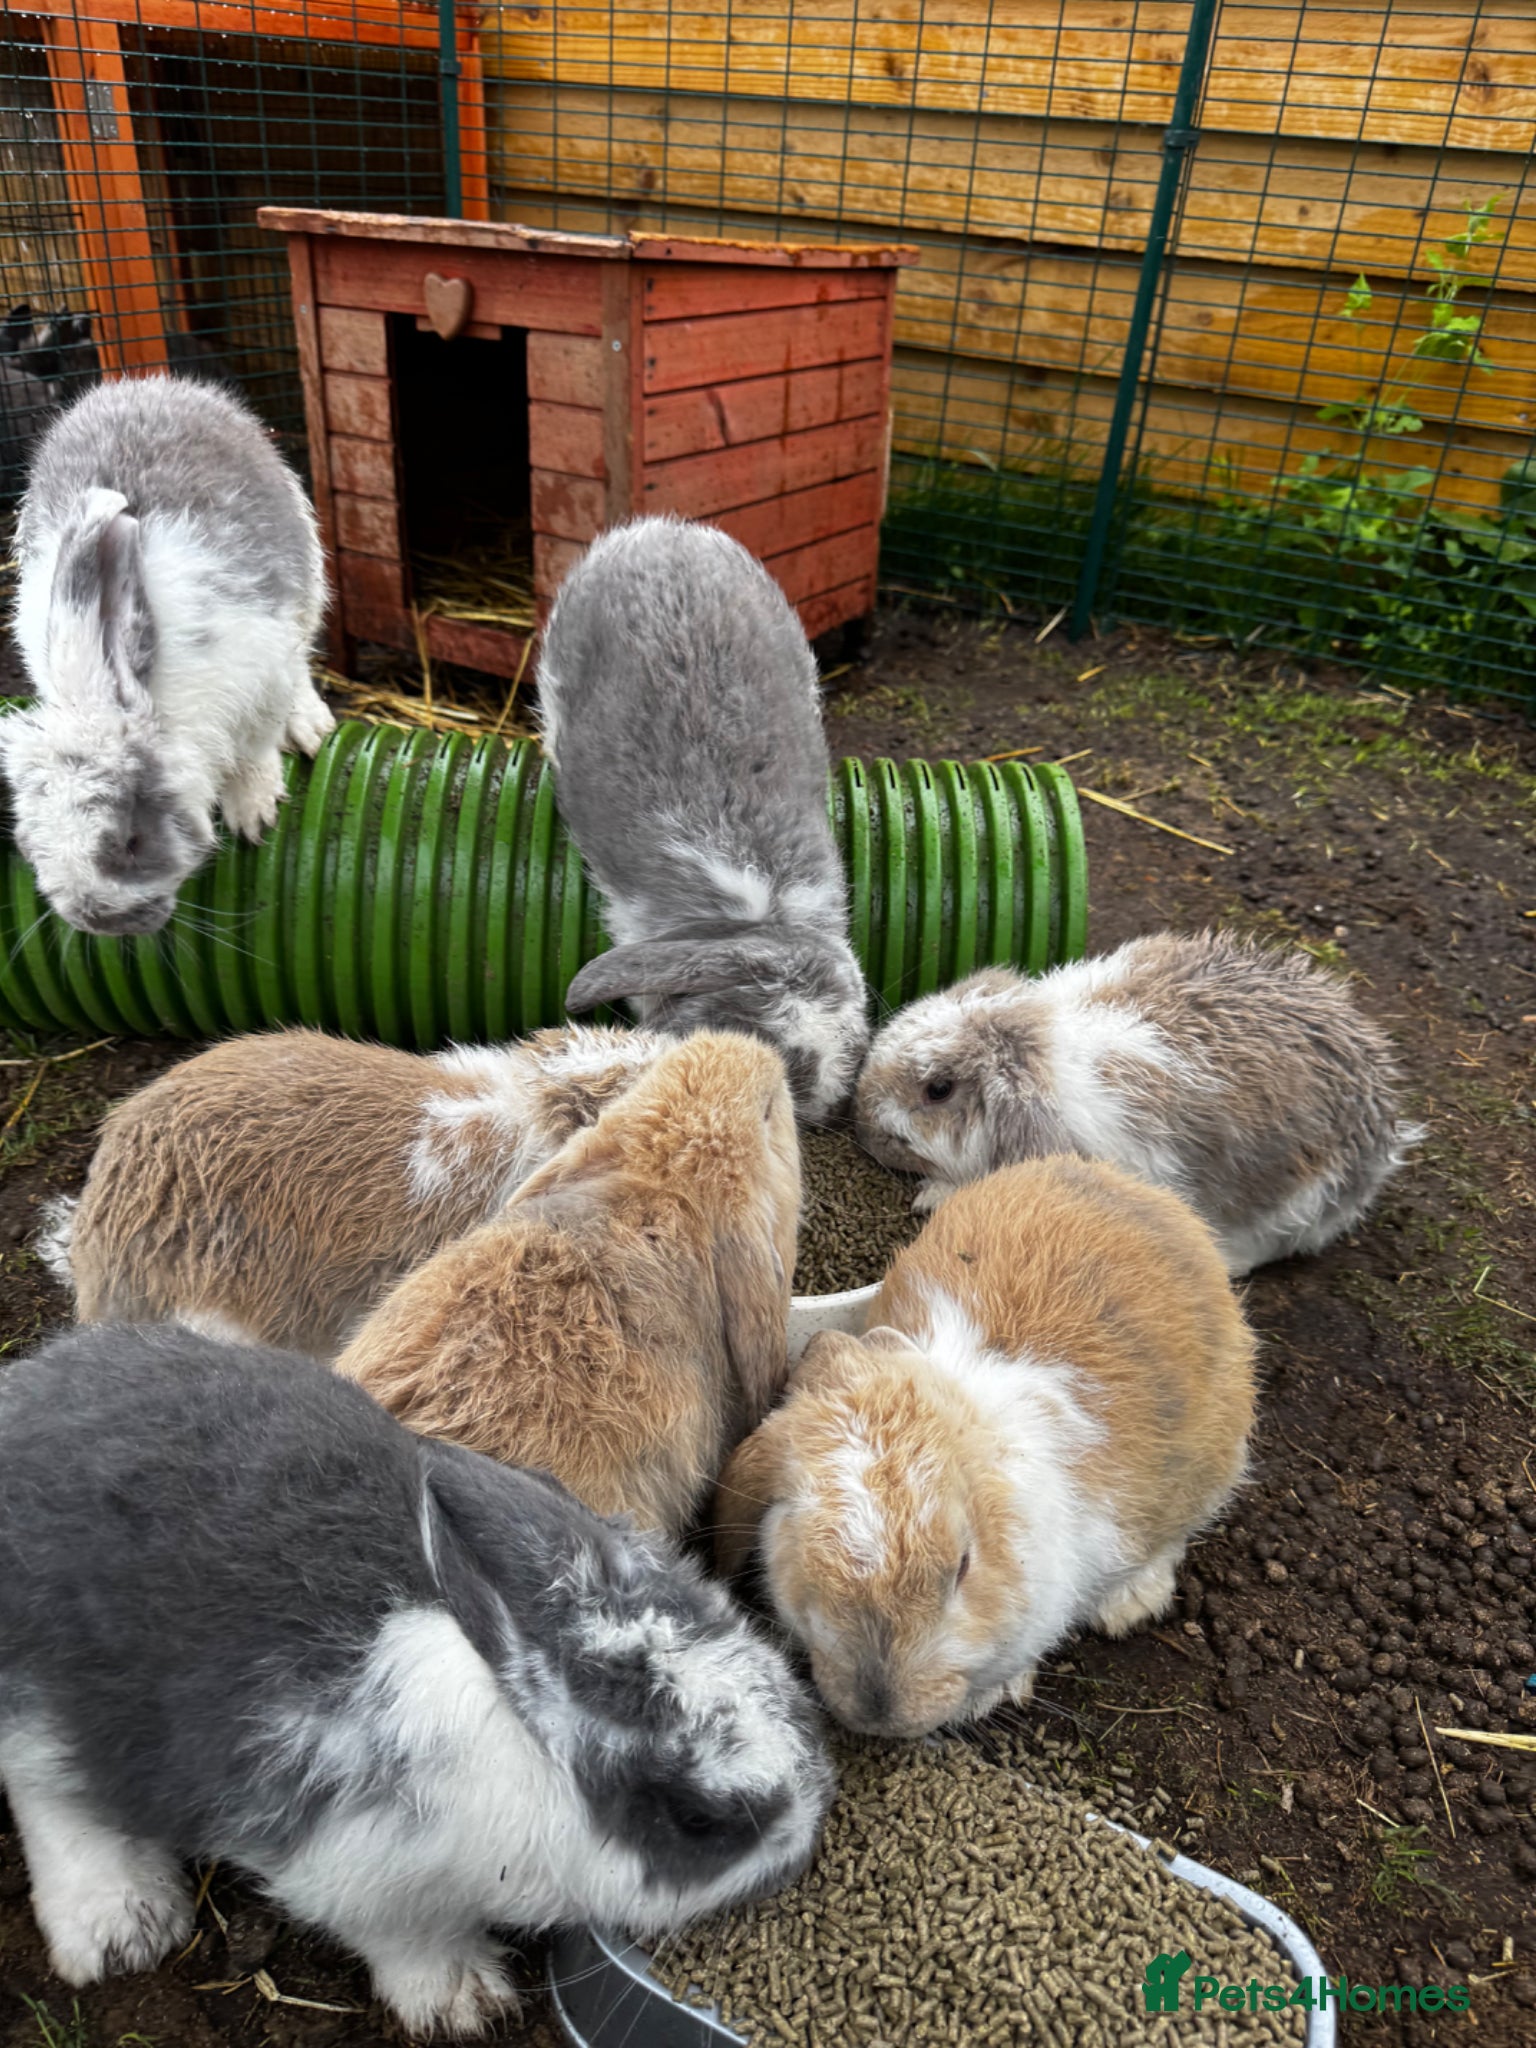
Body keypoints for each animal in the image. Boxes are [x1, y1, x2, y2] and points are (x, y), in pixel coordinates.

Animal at [0, 374, 332, 936]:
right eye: (26, 845)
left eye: (131, 841)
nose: (98, 923)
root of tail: (147, 384)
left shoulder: (264, 680)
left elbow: (255, 749)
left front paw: (253, 812)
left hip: (306, 573)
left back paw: (310, 724)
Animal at [0, 1321, 834, 2039]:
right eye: (695, 1819)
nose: (803, 1842)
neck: (528, 1749)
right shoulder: (357, 1871)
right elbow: (407, 1937)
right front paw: (467, 2001)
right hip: (45, 1716)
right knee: (53, 1800)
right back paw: (119, 1926)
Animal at [854, 928, 1422, 1275]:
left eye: (938, 1089)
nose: (864, 1128)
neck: (1038, 1054)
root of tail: (1384, 1138)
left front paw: (930, 1197)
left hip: (1299, 1204)